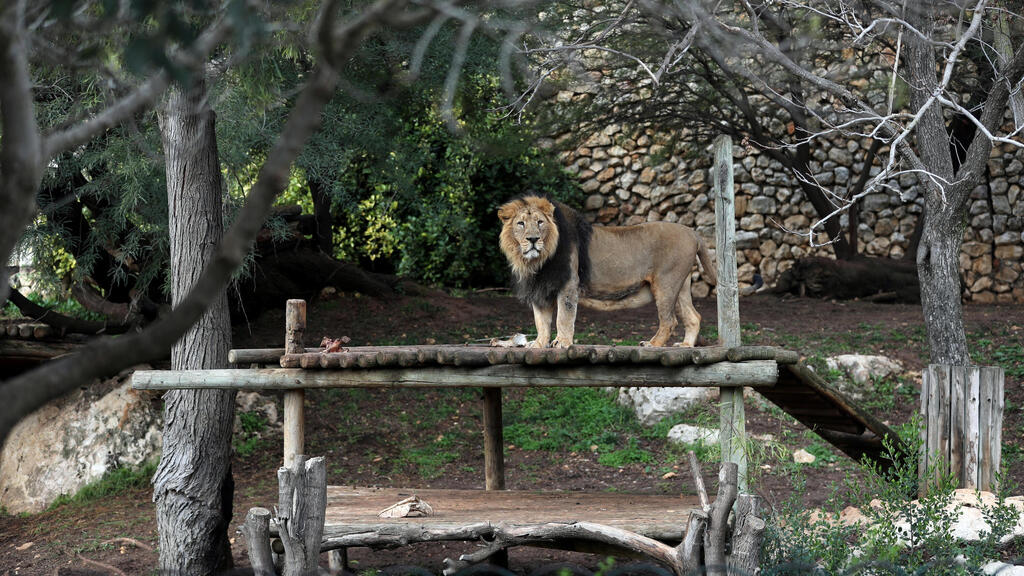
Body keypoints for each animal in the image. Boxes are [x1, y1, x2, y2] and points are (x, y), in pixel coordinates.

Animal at [498, 194, 716, 348]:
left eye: (540, 222)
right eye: (521, 223)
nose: (533, 239)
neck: (537, 262)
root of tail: (692, 231)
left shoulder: (568, 284)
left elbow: (564, 317)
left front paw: (562, 343)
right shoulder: (540, 289)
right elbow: (541, 321)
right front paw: (538, 344)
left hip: (666, 284)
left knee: (669, 321)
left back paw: (653, 344)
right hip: (681, 285)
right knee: (693, 317)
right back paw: (686, 345)